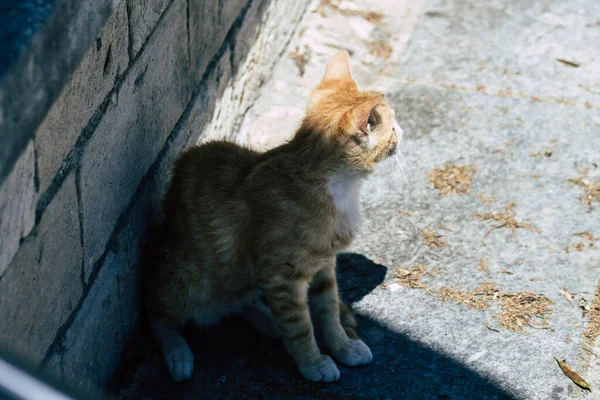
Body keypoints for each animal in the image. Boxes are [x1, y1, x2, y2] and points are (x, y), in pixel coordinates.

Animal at [146, 48, 404, 382]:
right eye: (392, 127)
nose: (403, 131)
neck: (337, 187)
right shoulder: (281, 275)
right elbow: (300, 325)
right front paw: (313, 362)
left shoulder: (324, 265)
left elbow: (328, 311)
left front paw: (343, 346)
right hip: (189, 280)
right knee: (156, 307)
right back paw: (177, 350)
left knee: (235, 299)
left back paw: (264, 317)